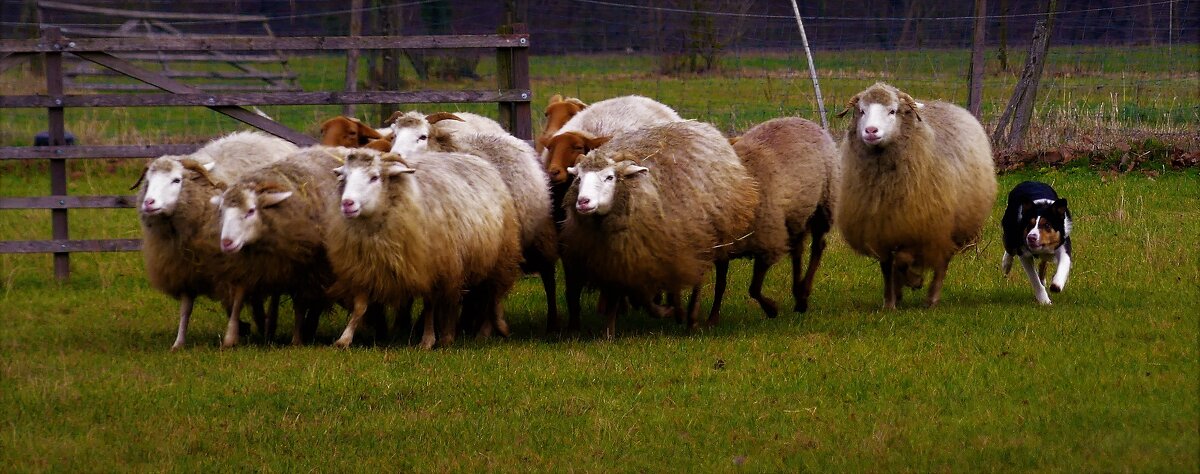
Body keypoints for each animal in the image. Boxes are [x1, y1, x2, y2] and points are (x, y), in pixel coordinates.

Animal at [207, 148, 343, 348]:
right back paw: (270, 327)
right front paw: (230, 338)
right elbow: (238, 299)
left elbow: (300, 304)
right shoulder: (249, 263)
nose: (227, 242)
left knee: (315, 300)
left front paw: (297, 339)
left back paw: (306, 328)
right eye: (222, 212)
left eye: (251, 211)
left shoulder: (302, 267)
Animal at [326, 150, 523, 350]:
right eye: (345, 177)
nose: (347, 203)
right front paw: (344, 338)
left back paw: (482, 332)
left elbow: (429, 306)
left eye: (374, 177)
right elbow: (360, 306)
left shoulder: (430, 269)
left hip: (496, 257)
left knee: (491, 296)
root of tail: (475, 159)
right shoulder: (364, 268)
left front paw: (427, 340)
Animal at [556, 121, 753, 338]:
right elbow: (621, 295)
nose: (583, 202)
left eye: (609, 177)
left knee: (697, 279)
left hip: (704, 239)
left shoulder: (648, 257)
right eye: (579, 179)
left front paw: (665, 312)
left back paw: (691, 318)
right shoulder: (617, 258)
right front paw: (609, 333)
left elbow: (646, 297)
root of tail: (700, 124)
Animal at [705, 117, 840, 324]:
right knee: (797, 252)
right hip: (795, 216)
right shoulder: (725, 249)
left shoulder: (768, 241)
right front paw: (712, 318)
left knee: (817, 246)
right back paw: (798, 295)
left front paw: (771, 309)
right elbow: (720, 285)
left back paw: (803, 295)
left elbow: (753, 288)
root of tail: (805, 120)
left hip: (823, 205)